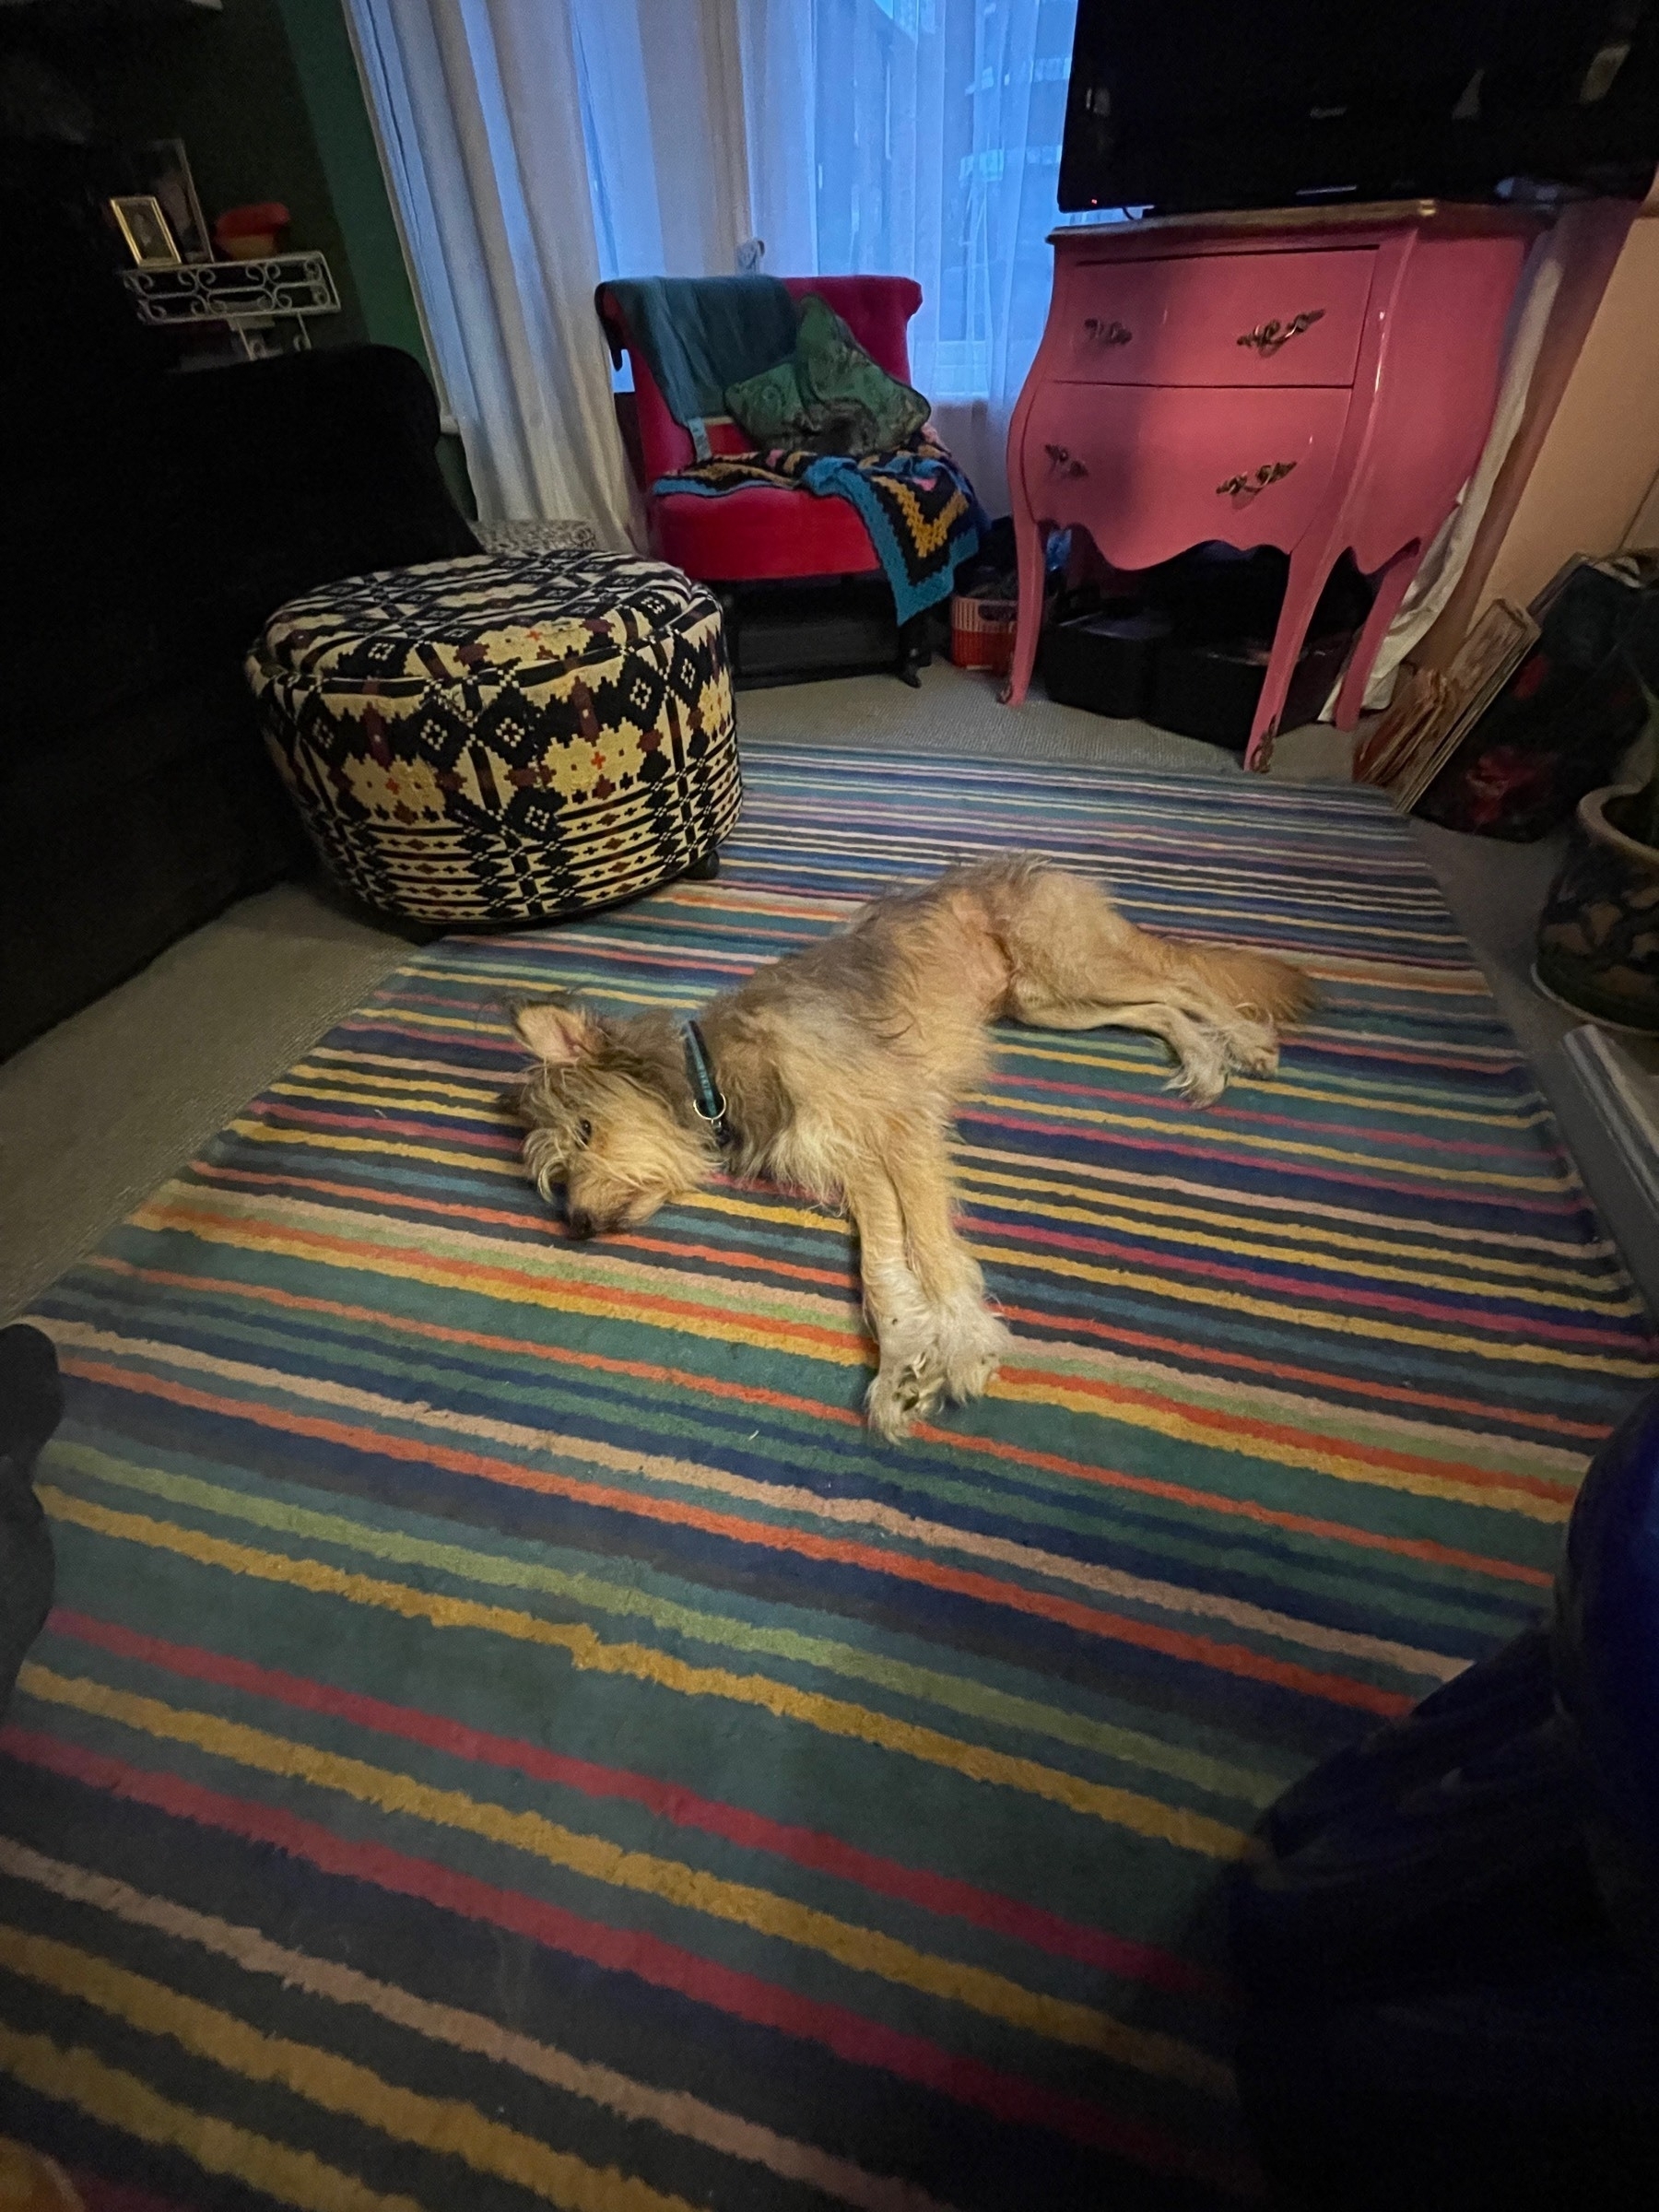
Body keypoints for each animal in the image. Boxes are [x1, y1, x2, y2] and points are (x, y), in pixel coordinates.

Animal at [507, 856, 1312, 1439]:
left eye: (585, 1133)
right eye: (559, 1171)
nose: (577, 1226)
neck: (716, 1075)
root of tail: (1036, 863)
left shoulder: (901, 1125)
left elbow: (928, 1244)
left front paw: (963, 1339)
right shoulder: (856, 1162)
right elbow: (883, 1274)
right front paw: (900, 1369)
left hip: (1071, 966)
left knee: (1183, 980)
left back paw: (1245, 1042)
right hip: (1050, 1003)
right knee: (1158, 1006)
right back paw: (1204, 1059)